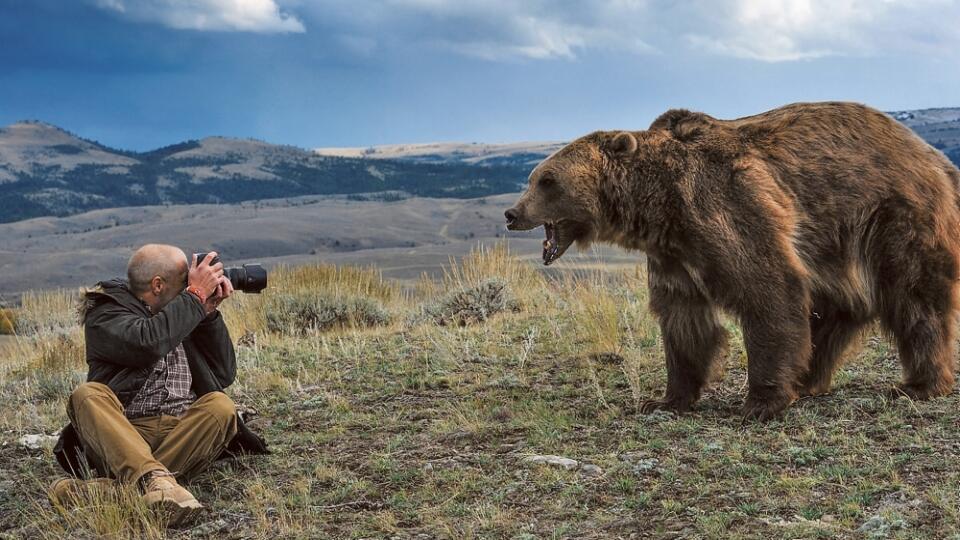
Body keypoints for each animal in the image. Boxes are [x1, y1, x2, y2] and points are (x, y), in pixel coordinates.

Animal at [502, 102, 960, 422]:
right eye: (533, 177)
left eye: (547, 180)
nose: (511, 213)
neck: (657, 206)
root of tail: (934, 156)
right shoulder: (675, 254)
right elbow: (685, 322)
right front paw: (667, 398)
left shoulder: (726, 206)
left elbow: (769, 290)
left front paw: (760, 401)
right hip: (834, 237)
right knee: (839, 305)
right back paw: (809, 376)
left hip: (889, 212)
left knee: (913, 295)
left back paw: (919, 384)